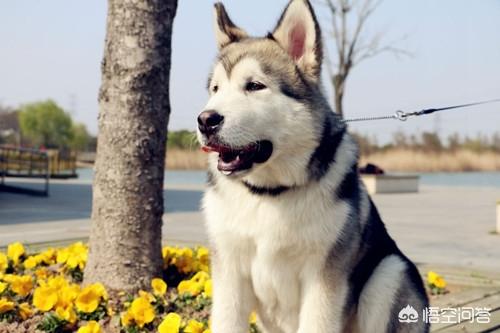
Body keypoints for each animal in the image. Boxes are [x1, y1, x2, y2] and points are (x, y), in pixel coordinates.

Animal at [195, 1, 430, 330]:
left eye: (254, 86)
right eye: (215, 89)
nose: (205, 120)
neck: (269, 194)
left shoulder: (324, 280)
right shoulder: (229, 273)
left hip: (389, 273)